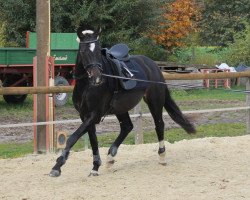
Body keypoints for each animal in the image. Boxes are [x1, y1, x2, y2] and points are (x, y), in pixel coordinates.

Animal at [49, 25, 196, 177]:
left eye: (98, 50)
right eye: (84, 51)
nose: (97, 78)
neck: (86, 86)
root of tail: (153, 65)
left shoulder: (94, 115)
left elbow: (73, 137)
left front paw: (58, 166)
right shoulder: (85, 116)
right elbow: (93, 140)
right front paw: (95, 166)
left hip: (154, 101)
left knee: (159, 125)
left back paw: (162, 157)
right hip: (120, 107)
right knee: (127, 126)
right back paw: (110, 157)